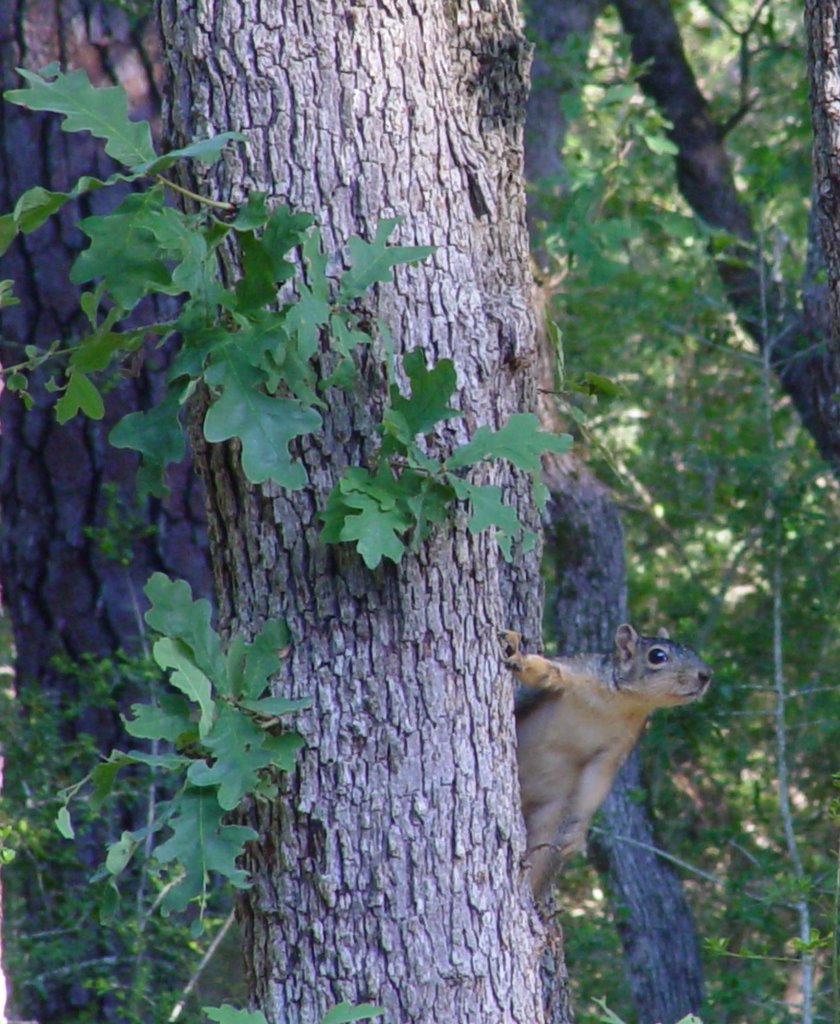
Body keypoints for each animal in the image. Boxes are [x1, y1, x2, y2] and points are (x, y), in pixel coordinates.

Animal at [495, 622, 712, 897]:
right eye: (657, 656)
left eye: (691, 648)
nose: (706, 675)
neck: (620, 702)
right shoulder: (578, 674)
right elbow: (547, 672)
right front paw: (518, 656)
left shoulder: (616, 749)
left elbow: (596, 784)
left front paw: (579, 835)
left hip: (550, 819)